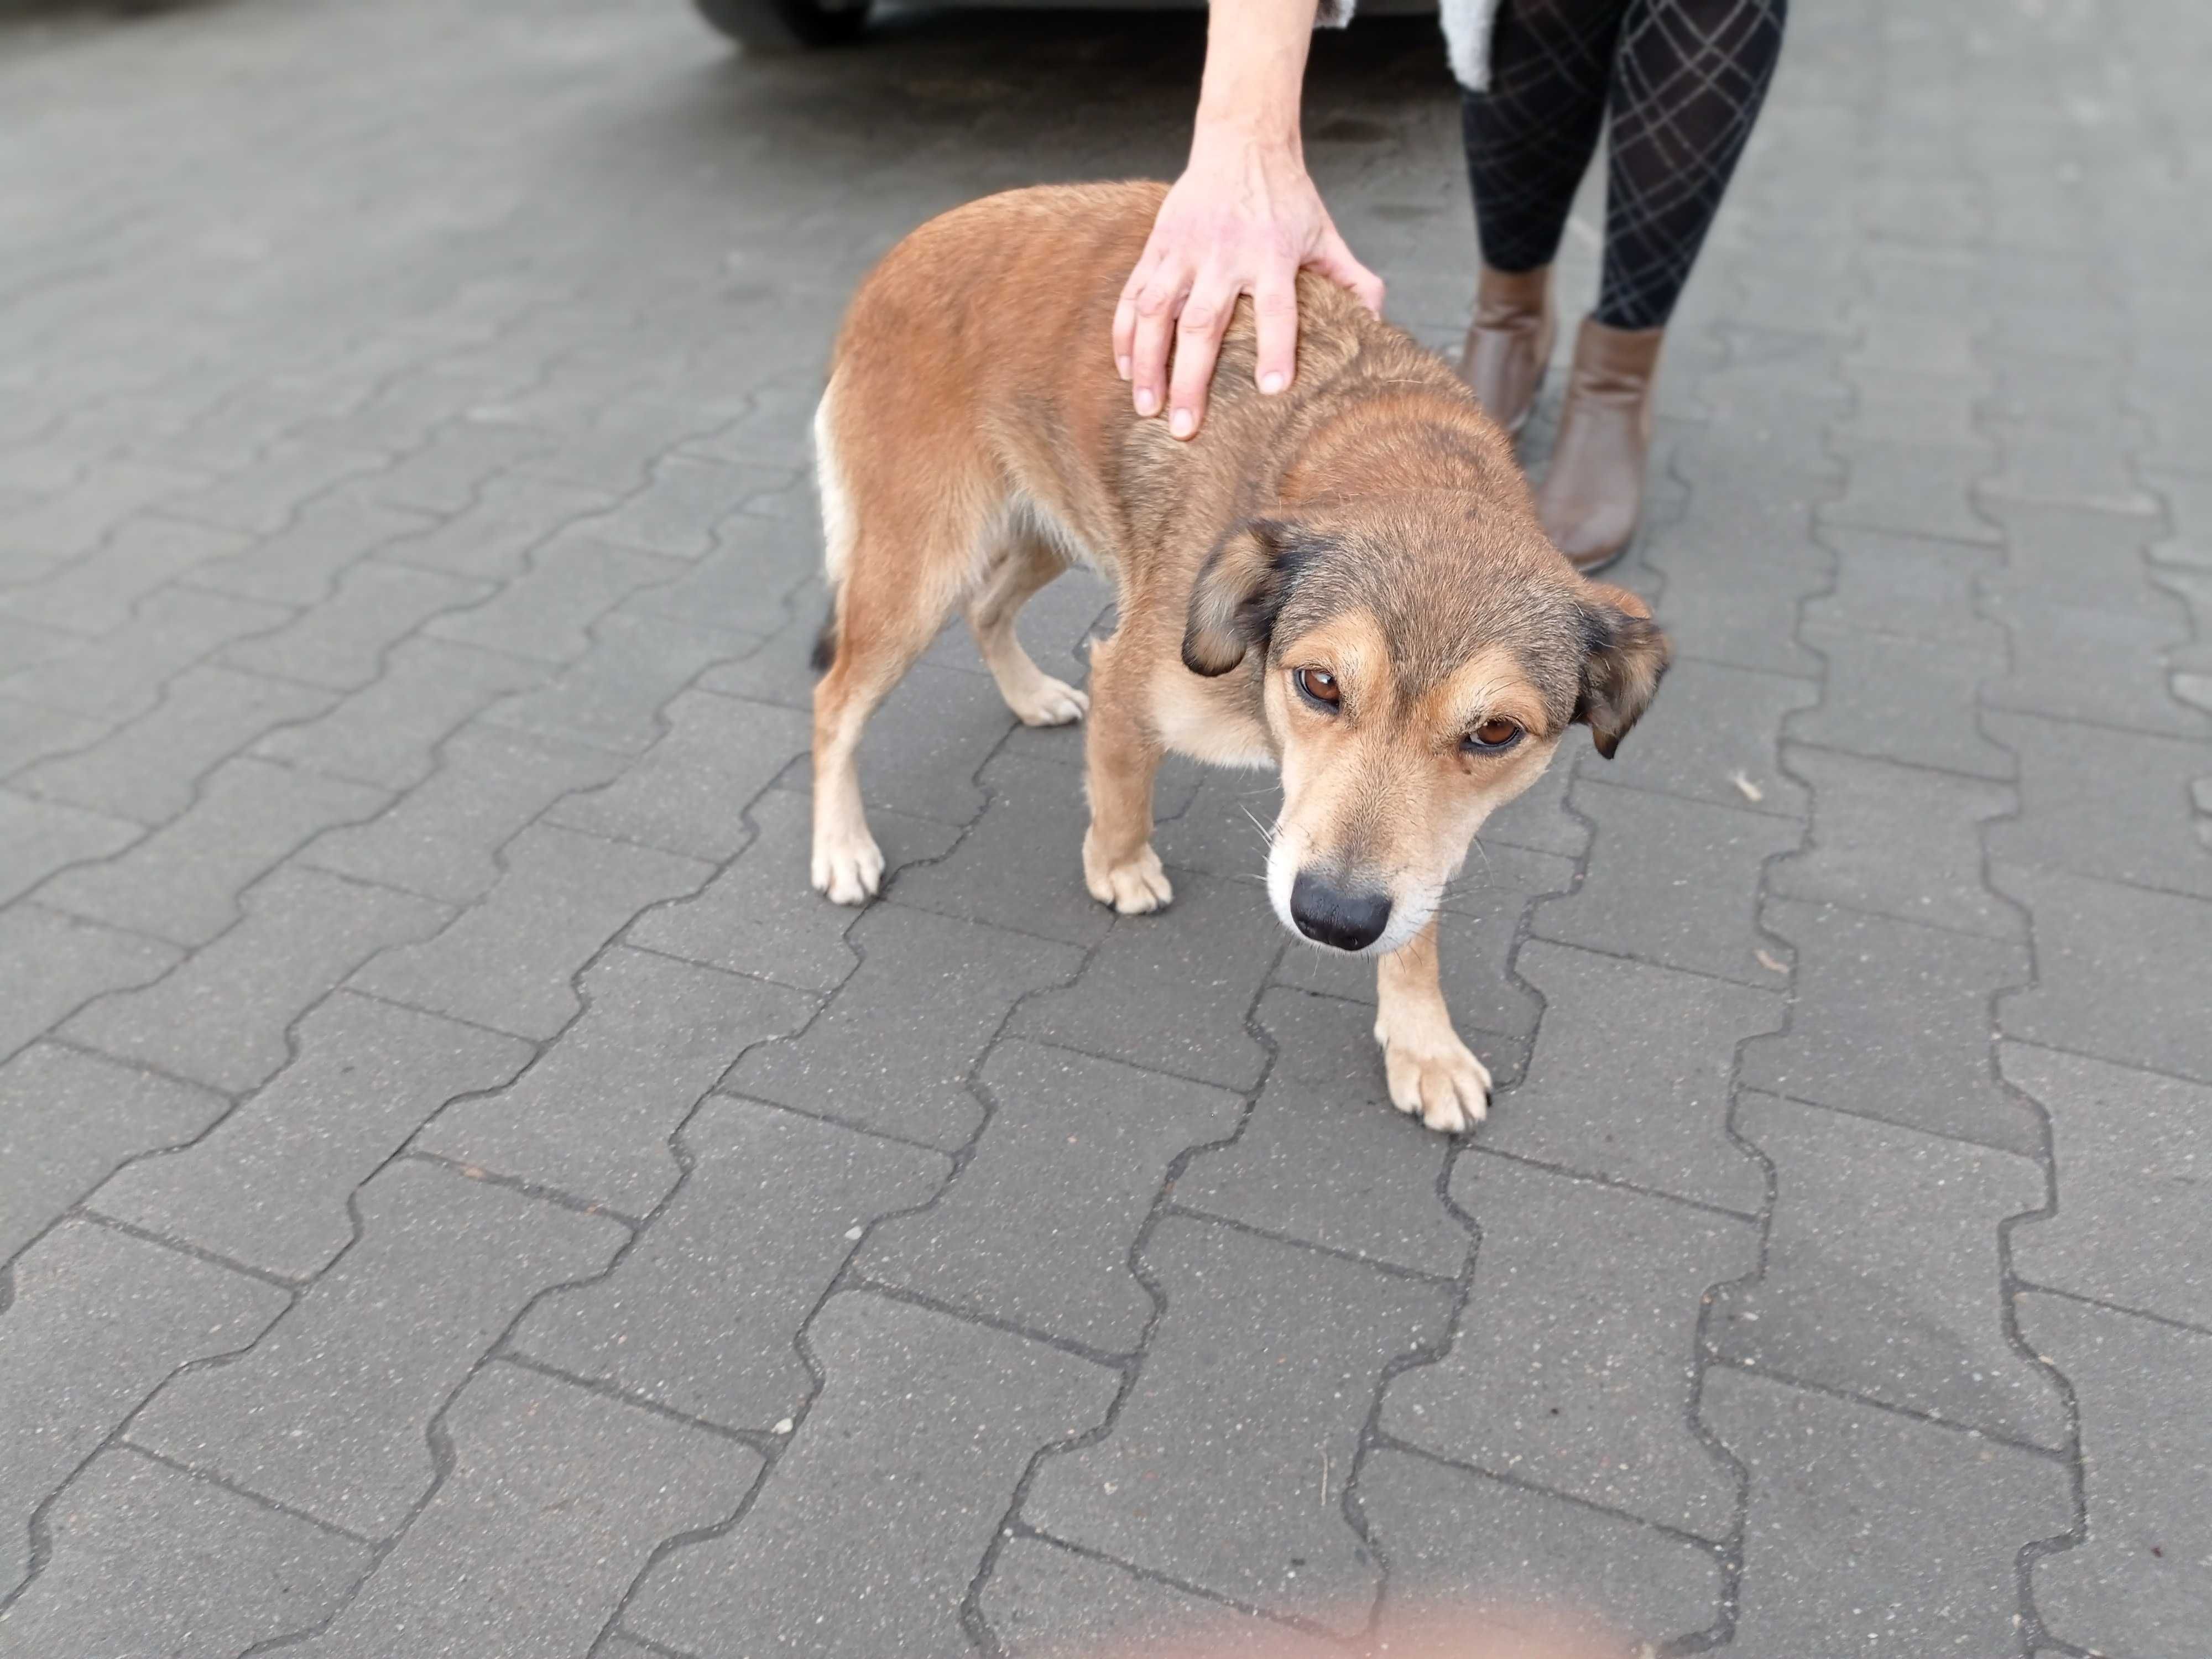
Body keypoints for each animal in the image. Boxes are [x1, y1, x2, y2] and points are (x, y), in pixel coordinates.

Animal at [810, 188, 1663, 1141]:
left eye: (1495, 733)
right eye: (1320, 684)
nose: (1334, 921)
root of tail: (914, 243)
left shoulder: (1428, 848)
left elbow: (1416, 925)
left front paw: (1423, 1043)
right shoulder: (1131, 679)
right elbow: (1122, 796)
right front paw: (1119, 869)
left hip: (1050, 526)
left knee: (987, 607)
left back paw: (1028, 696)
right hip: (918, 571)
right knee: (834, 700)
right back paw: (841, 847)